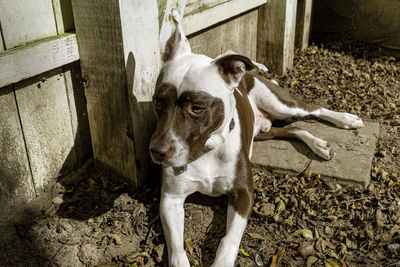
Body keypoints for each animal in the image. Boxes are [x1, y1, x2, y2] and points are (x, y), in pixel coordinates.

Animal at [148, 9, 364, 266]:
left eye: (197, 108)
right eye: (157, 101)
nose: (157, 151)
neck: (208, 151)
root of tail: (248, 74)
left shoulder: (244, 193)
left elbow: (228, 241)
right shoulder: (170, 199)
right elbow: (177, 248)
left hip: (282, 105)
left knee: (314, 110)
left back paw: (345, 120)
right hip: (262, 132)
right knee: (293, 129)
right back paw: (318, 144)